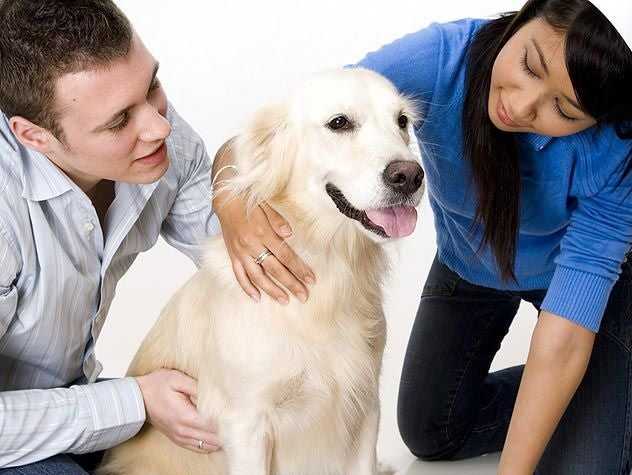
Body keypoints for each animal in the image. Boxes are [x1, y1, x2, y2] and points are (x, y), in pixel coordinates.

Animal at [99, 68, 424, 475]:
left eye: (402, 121)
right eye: (339, 123)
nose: (410, 176)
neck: (328, 266)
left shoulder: (365, 407)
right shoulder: (246, 423)